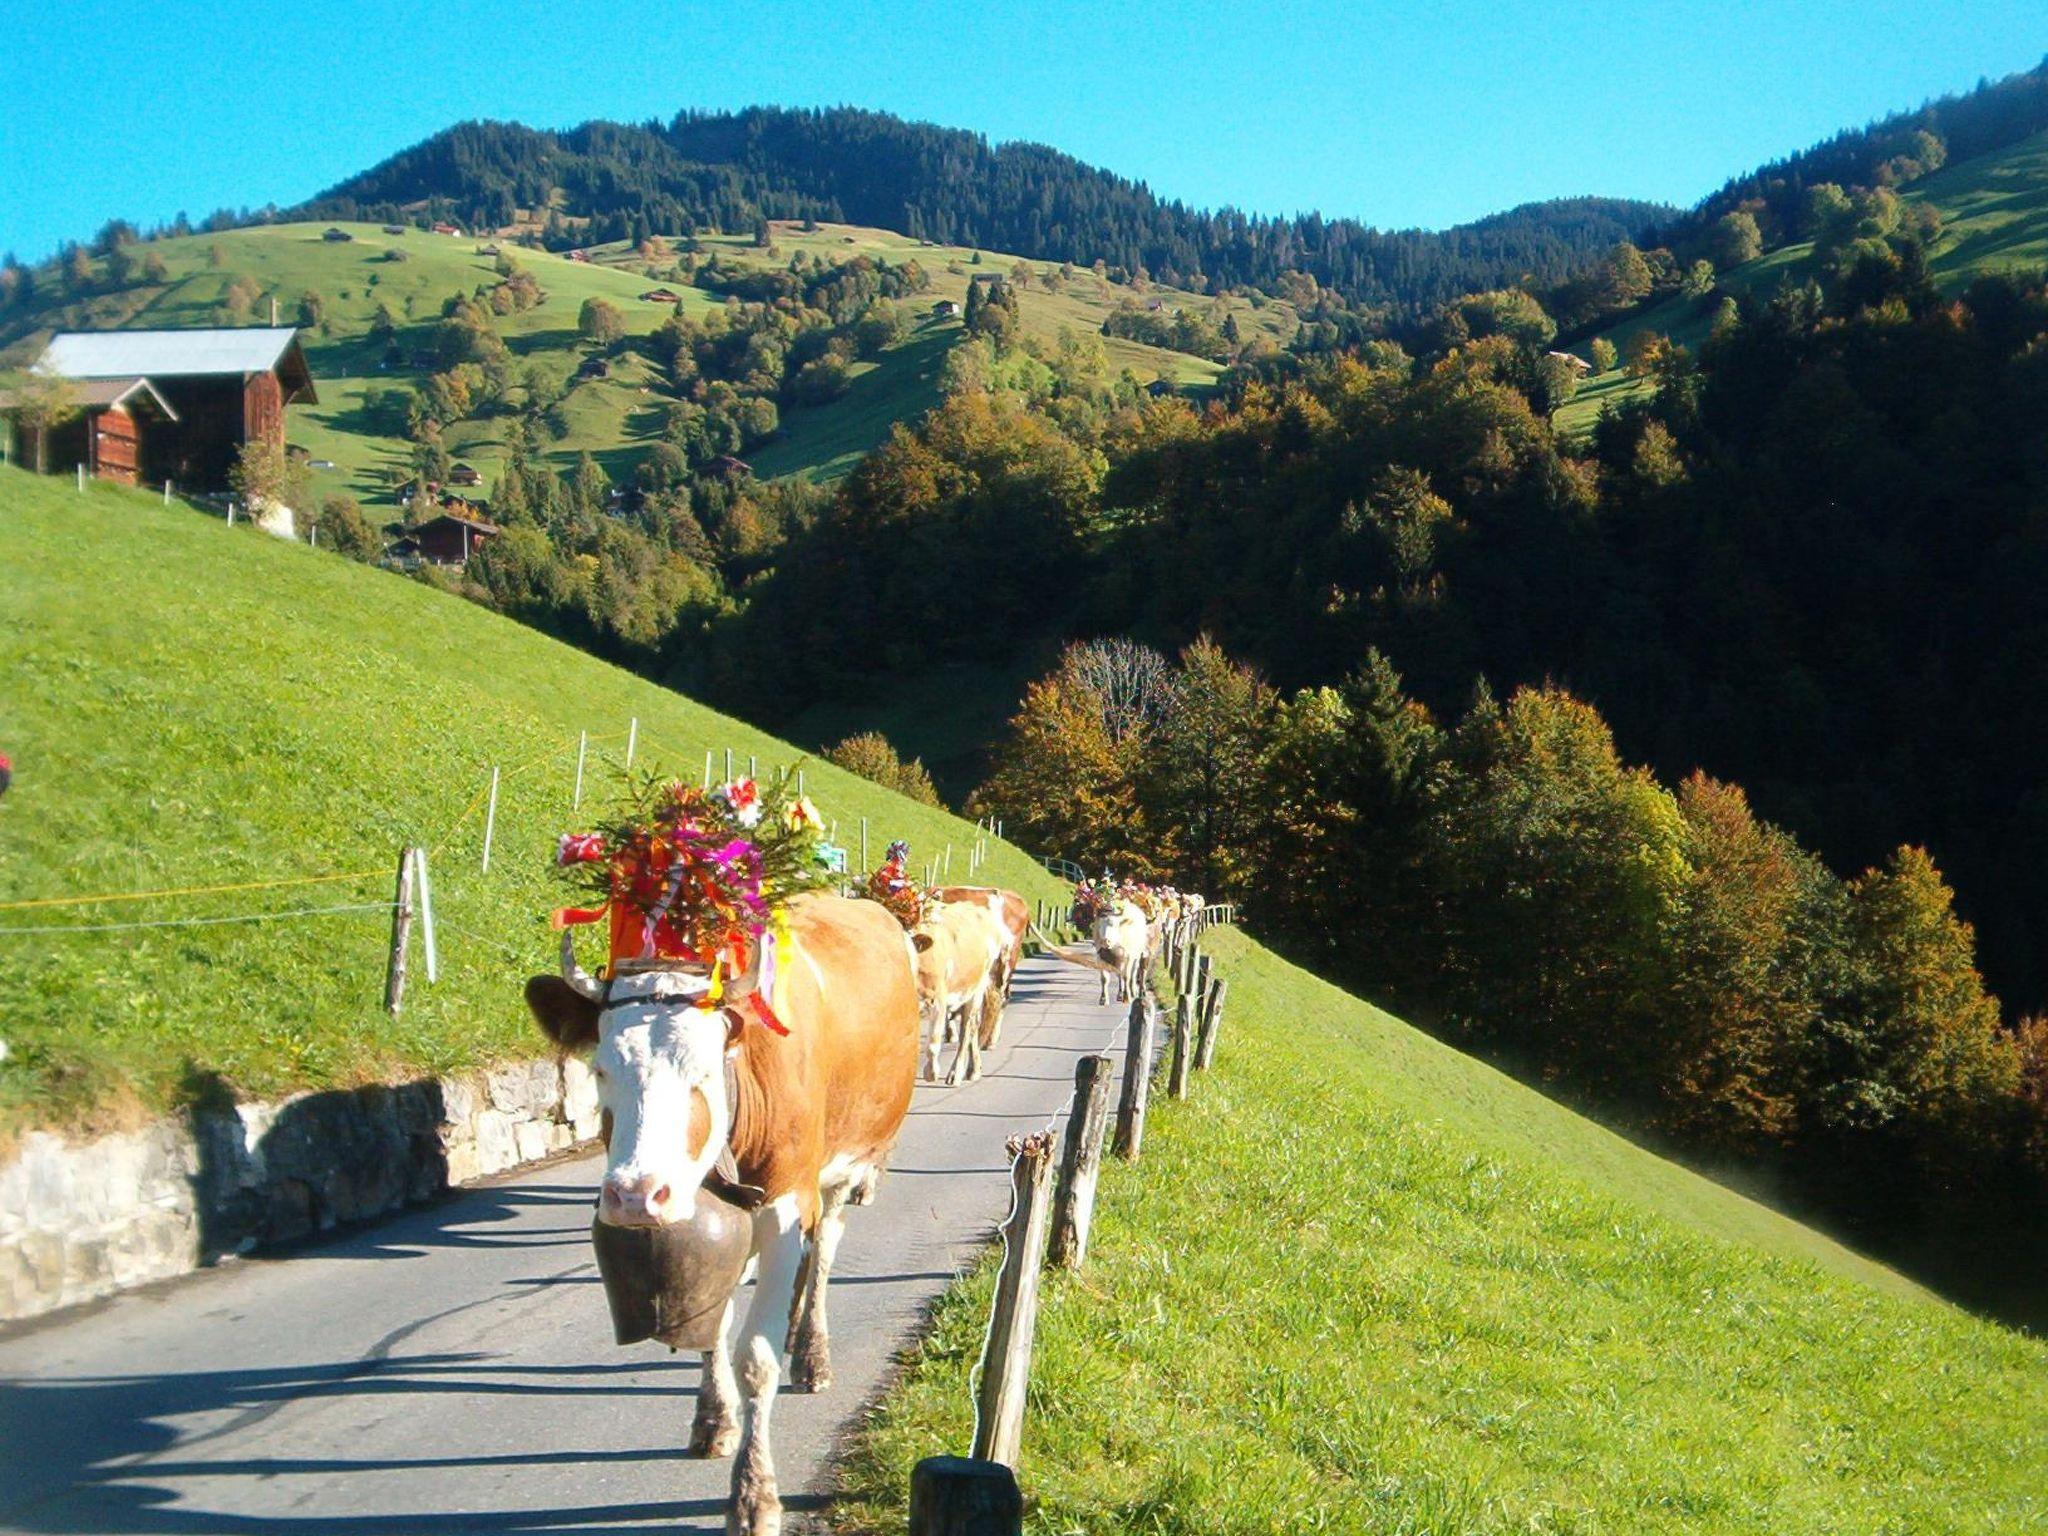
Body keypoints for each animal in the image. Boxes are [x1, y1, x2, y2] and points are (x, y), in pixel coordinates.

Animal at [528, 888, 921, 1536]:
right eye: (601, 1069)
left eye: (705, 1071)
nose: (633, 1195)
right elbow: (715, 1324)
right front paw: (714, 1420)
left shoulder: (787, 1202)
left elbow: (755, 1358)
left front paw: (754, 1497)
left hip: (842, 1170)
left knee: (824, 1251)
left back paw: (810, 1351)